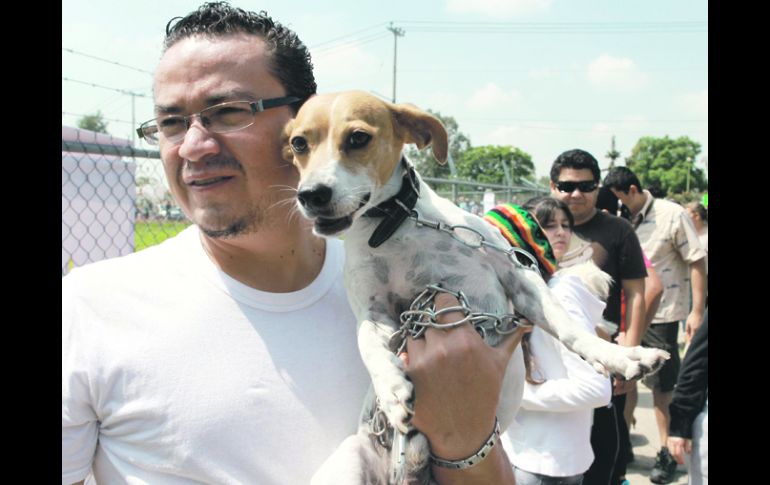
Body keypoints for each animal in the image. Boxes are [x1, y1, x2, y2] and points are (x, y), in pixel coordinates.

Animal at [282, 90, 664, 480]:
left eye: (358, 137)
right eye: (298, 143)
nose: (310, 194)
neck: (392, 227)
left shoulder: (518, 274)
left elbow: (570, 328)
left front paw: (622, 357)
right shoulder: (373, 313)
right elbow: (369, 347)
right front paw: (390, 389)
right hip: (347, 463)